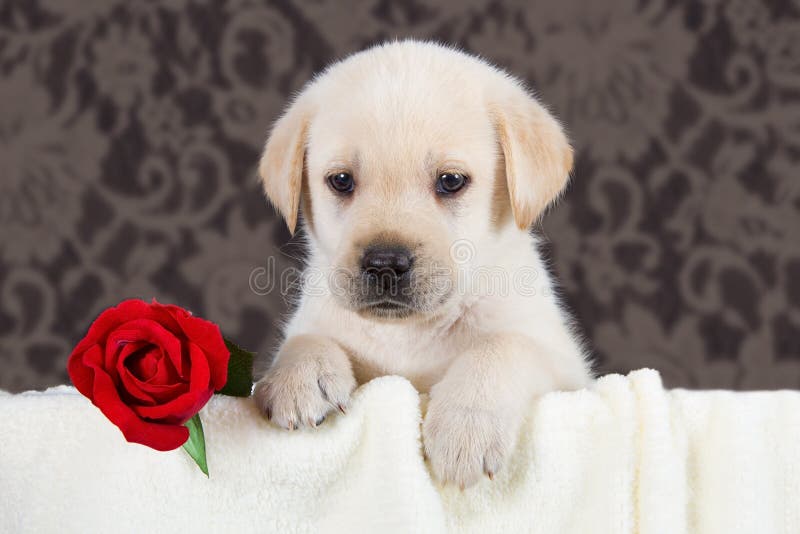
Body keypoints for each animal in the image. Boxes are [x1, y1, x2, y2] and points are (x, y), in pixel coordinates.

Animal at [253, 40, 592, 490]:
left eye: (450, 181)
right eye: (341, 181)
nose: (384, 264)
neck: (409, 332)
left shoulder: (567, 368)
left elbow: (502, 345)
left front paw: (466, 428)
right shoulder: (322, 317)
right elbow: (306, 337)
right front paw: (299, 376)